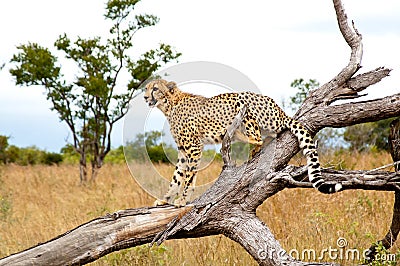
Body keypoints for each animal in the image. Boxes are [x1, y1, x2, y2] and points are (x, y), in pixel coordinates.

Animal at [143, 78, 340, 207]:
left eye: (155, 89)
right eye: (146, 88)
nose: (145, 98)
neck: (169, 105)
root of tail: (278, 108)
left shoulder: (194, 147)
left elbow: (188, 175)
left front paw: (182, 200)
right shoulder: (183, 150)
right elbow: (177, 175)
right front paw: (165, 199)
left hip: (244, 103)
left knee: (259, 136)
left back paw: (236, 135)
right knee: (268, 137)